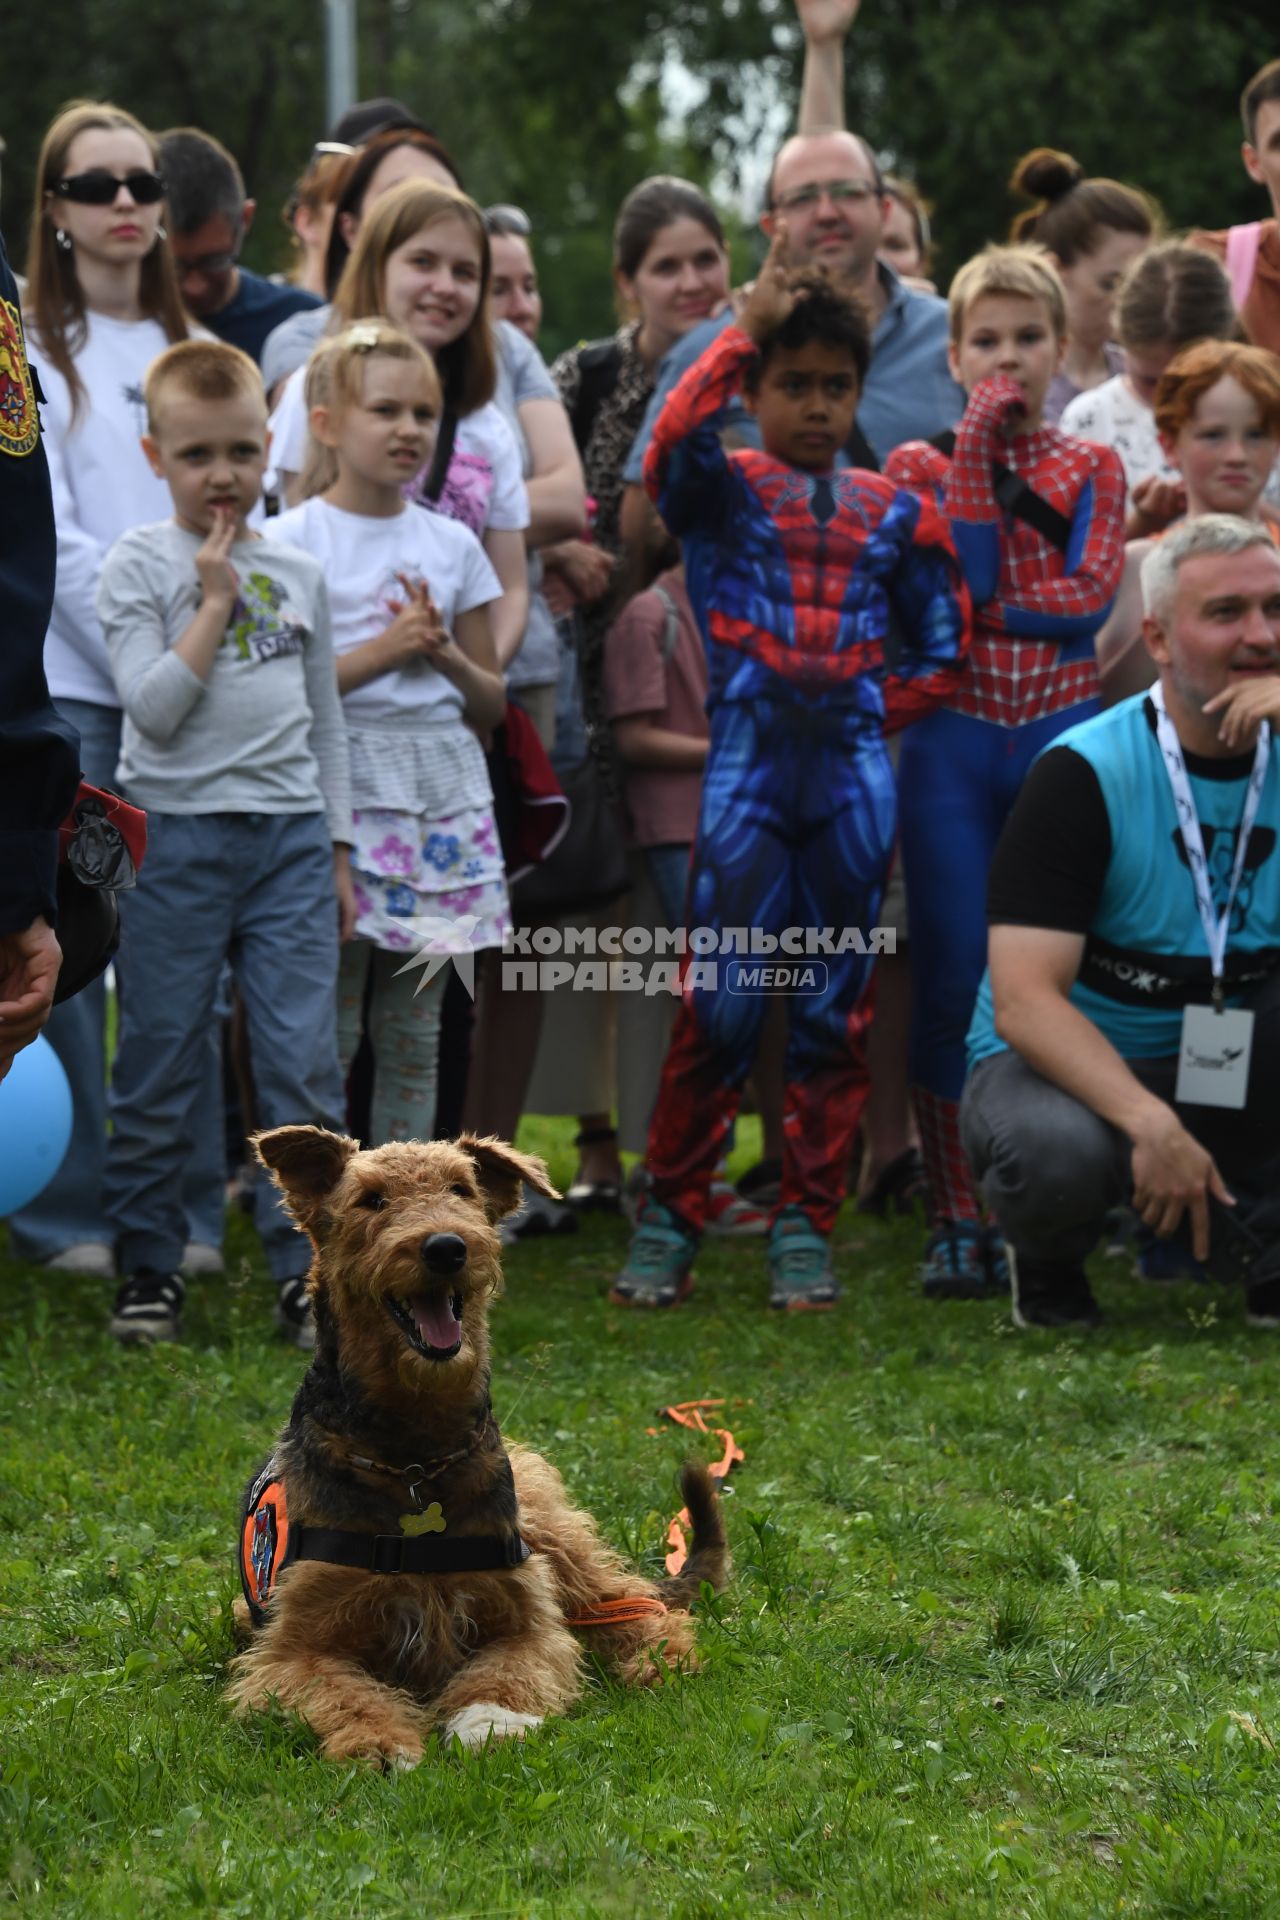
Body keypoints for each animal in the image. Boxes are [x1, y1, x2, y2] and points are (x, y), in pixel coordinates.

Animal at [227, 1121, 729, 1766]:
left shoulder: (524, 1617)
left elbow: (508, 1671)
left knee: (636, 1601)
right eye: (372, 1199)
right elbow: (339, 1690)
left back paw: (657, 1656)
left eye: (462, 1189)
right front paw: (378, 1741)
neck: (414, 1457)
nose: (446, 1248)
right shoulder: (296, 1643)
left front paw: (491, 1721)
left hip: (556, 1541)